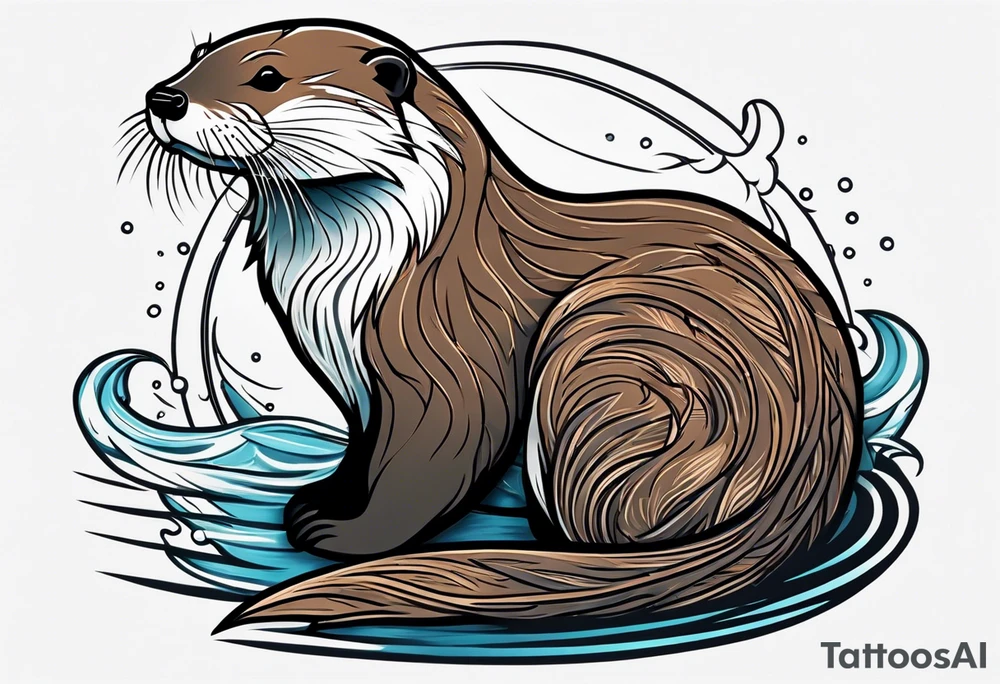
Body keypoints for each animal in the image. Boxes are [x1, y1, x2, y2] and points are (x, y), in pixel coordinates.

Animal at [139, 20, 861, 629]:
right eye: (197, 55)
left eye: (268, 77)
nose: (163, 96)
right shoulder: (360, 385)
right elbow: (364, 452)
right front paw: (318, 500)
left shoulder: (444, 354)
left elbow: (435, 456)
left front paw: (347, 537)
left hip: (610, 342)